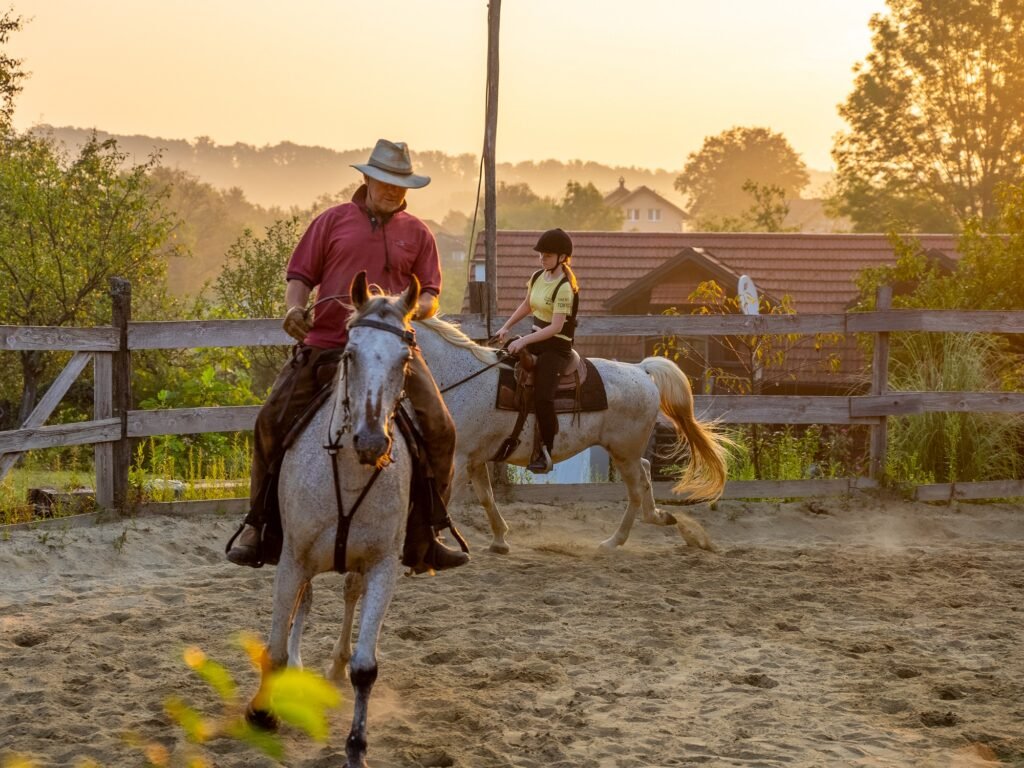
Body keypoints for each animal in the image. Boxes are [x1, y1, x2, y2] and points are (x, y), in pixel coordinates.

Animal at [411, 315, 733, 557]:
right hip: (626, 452)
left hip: (624, 452)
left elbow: (449, 501)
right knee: (645, 472)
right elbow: (486, 498)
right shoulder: (475, 459)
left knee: (636, 489)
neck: (464, 378)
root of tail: (641, 370)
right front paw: (500, 540)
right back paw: (657, 517)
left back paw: (614, 541)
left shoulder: (460, 458)